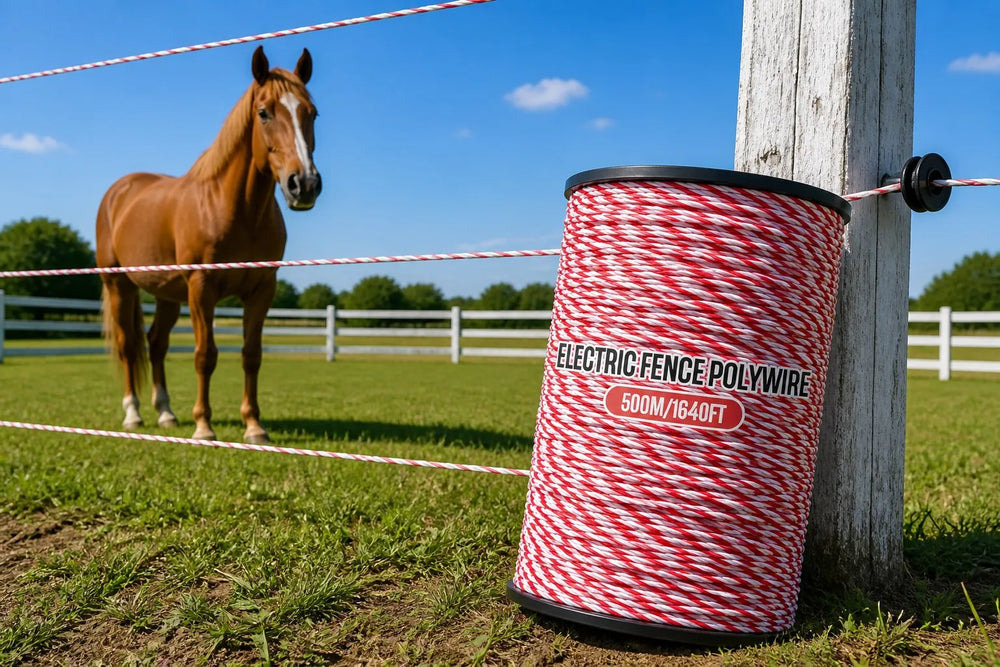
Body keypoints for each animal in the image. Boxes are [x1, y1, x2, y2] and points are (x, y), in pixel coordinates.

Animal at [95, 46, 321, 445]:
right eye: (264, 112)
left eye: (312, 112)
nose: (304, 184)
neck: (234, 208)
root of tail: (118, 192)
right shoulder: (202, 287)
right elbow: (205, 354)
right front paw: (203, 425)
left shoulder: (262, 289)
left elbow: (251, 355)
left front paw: (254, 426)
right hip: (120, 285)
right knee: (128, 347)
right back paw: (133, 415)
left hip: (168, 295)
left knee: (156, 344)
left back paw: (166, 414)